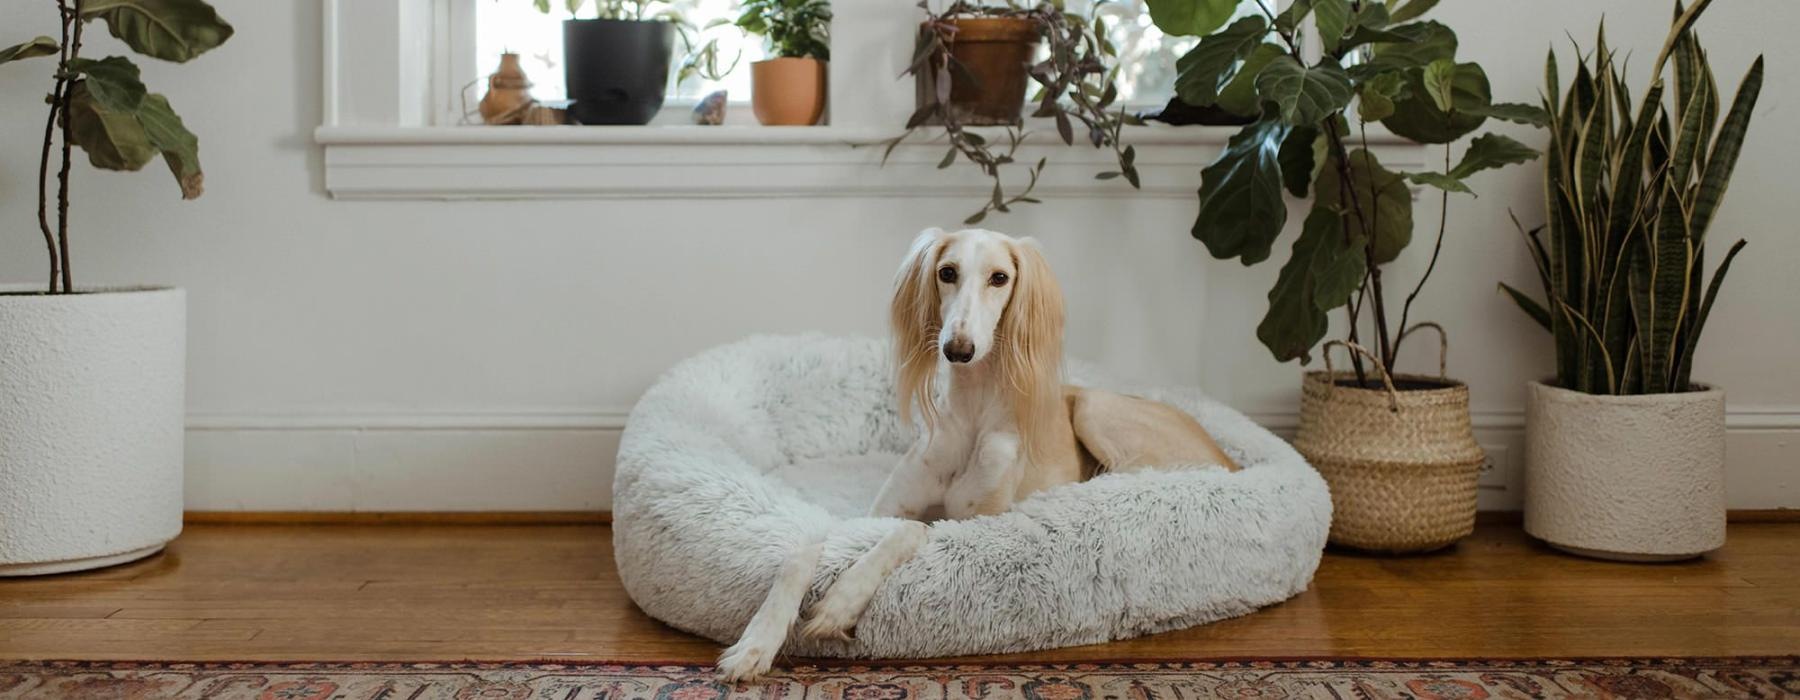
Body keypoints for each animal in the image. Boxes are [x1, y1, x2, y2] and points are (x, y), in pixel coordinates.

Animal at [716, 227, 1238, 676]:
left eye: (999, 277)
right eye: (947, 271)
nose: (958, 348)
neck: (971, 417)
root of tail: (1230, 459)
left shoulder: (979, 525)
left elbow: (912, 530)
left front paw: (841, 603)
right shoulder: (874, 513)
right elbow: (804, 550)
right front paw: (756, 643)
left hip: (1095, 408)